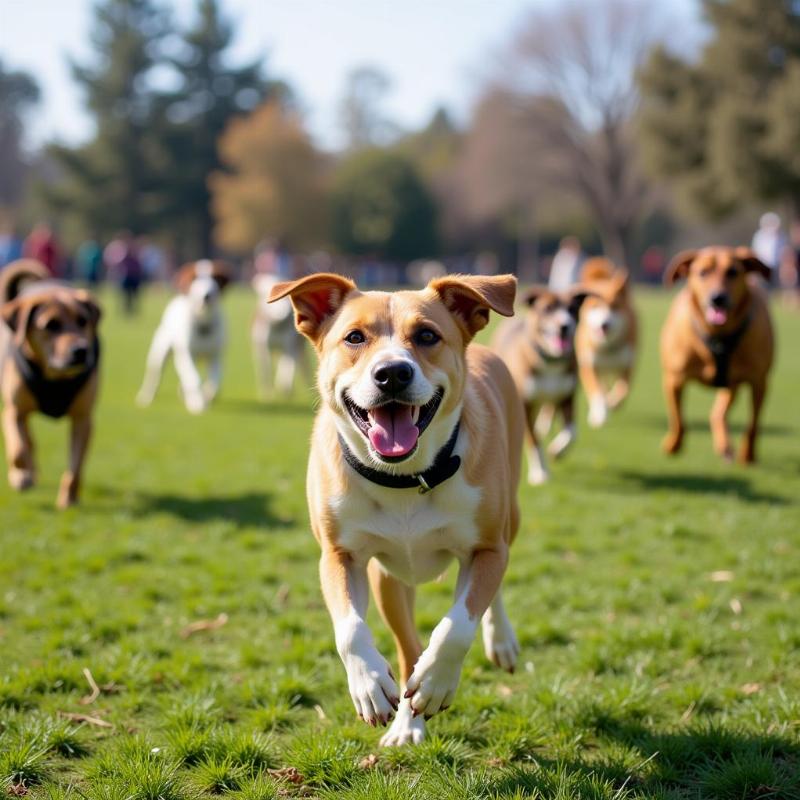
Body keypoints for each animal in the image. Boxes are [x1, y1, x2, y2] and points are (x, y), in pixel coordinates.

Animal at [0, 260, 103, 506]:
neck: (56, 378)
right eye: (50, 325)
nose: (80, 351)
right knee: (27, 441)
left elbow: (75, 467)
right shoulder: (13, 411)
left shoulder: (82, 419)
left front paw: (68, 499)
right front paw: (21, 476)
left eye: (83, 321)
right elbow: (18, 450)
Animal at [268, 272, 524, 748]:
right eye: (354, 337)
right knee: (407, 647)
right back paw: (407, 723)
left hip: (510, 514)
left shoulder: (486, 548)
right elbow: (351, 628)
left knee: (493, 585)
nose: (392, 373)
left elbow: (459, 622)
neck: (406, 477)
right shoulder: (340, 554)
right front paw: (370, 684)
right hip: (389, 579)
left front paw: (437, 680)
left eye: (426, 336)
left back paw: (499, 641)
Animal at [494, 290, 588, 488]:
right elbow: (534, 440)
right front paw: (540, 473)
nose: (564, 325)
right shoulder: (526, 404)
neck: (551, 362)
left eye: (572, 309)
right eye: (548, 308)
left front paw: (557, 451)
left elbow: (572, 431)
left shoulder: (567, 397)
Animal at [576, 260, 636, 428]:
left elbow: (623, 390)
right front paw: (600, 415)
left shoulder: (628, 364)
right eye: (595, 306)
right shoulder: (588, 365)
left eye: (614, 306)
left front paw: (612, 402)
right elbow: (596, 392)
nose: (605, 325)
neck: (607, 347)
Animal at [660, 248, 772, 462]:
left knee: (719, 414)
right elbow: (678, 419)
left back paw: (726, 446)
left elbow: (753, 424)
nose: (718, 298)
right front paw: (673, 445)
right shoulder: (674, 379)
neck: (718, 336)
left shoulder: (759, 382)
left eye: (733, 272)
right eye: (703, 272)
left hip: (733, 384)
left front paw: (748, 455)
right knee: (716, 414)